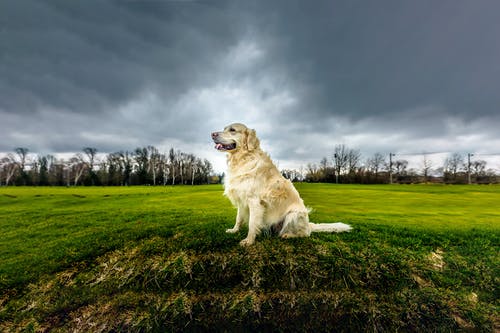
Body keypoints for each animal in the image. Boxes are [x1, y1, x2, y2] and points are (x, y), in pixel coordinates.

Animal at [211, 123, 352, 245]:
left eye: (232, 130)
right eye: (224, 128)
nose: (212, 134)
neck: (243, 158)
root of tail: (309, 225)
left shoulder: (254, 201)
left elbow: (252, 223)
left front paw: (249, 241)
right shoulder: (242, 199)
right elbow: (239, 218)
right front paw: (234, 230)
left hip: (293, 215)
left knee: (305, 234)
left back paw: (288, 235)